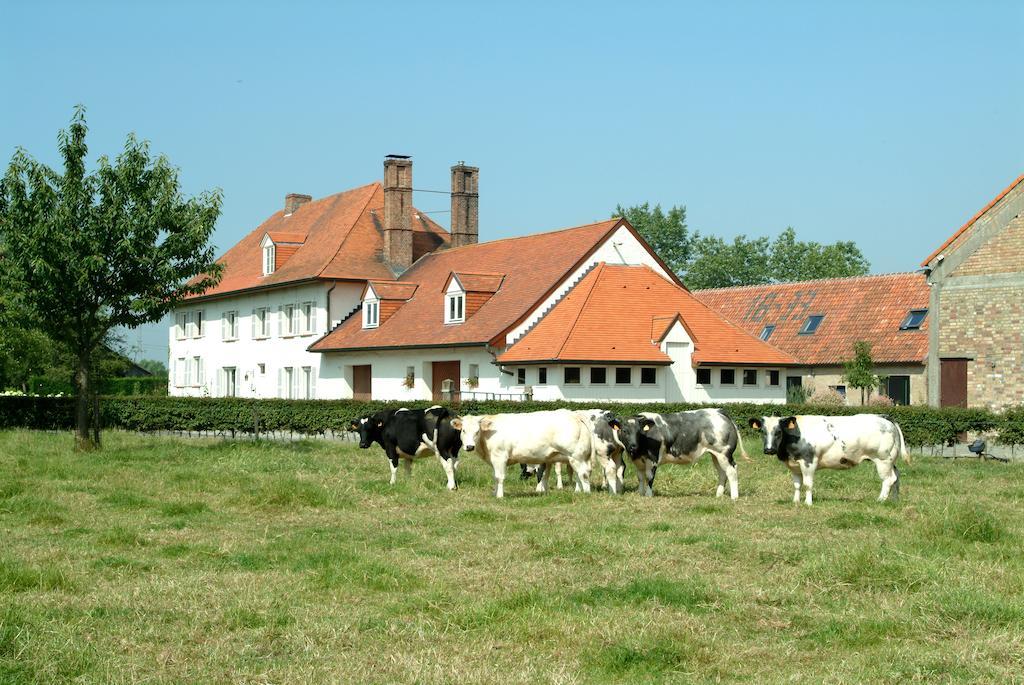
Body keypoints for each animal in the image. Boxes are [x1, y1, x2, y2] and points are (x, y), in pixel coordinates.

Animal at [454, 405, 593, 497]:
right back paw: (578, 492)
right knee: (579, 474)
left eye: (477, 431)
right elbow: (495, 477)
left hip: (576, 456)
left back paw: (586, 493)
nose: (470, 446)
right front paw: (495, 494)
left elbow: (499, 477)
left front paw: (499, 496)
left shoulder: (500, 457)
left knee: (584, 474)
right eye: (463, 430)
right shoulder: (493, 460)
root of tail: (575, 415)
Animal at [606, 405, 745, 497]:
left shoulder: (653, 459)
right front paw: (640, 494)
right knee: (722, 473)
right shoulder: (638, 461)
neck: (639, 450)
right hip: (716, 455)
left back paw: (734, 497)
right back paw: (718, 495)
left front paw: (648, 495)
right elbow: (640, 477)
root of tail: (718, 411)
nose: (633, 446)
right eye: (624, 431)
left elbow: (649, 477)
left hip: (724, 453)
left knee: (732, 471)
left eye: (639, 432)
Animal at [749, 413, 909, 505]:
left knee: (888, 480)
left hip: (883, 460)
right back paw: (894, 500)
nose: (769, 449)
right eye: (763, 431)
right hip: (890, 461)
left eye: (779, 431)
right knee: (896, 476)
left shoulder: (808, 462)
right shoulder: (794, 466)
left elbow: (807, 484)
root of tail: (884, 418)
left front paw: (808, 503)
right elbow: (797, 485)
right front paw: (795, 502)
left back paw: (880, 500)